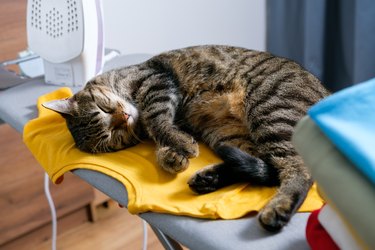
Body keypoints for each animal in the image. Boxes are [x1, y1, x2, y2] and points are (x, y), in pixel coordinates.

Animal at [44, 45, 330, 232]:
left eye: (103, 108)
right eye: (113, 135)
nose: (123, 117)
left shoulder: (155, 82)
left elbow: (156, 119)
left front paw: (178, 145)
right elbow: (160, 136)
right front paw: (172, 156)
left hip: (271, 112)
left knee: (298, 170)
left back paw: (278, 208)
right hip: (227, 134)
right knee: (265, 167)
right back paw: (209, 178)